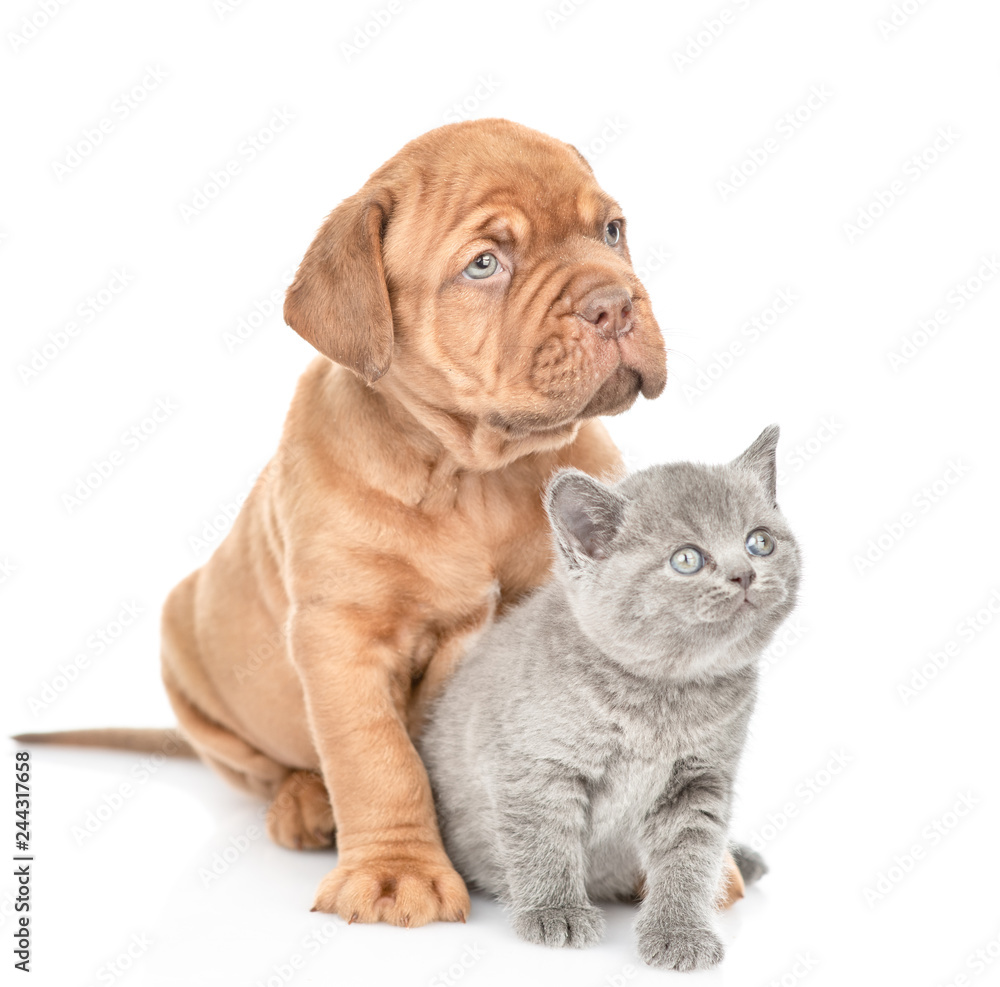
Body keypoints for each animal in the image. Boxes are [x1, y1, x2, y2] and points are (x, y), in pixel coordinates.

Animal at [418, 426, 800, 972]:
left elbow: (690, 858)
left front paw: (680, 931)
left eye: (759, 542)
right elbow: (544, 841)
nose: (745, 574)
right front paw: (555, 912)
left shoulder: (700, 780)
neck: (662, 697)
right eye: (686, 559)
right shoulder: (534, 766)